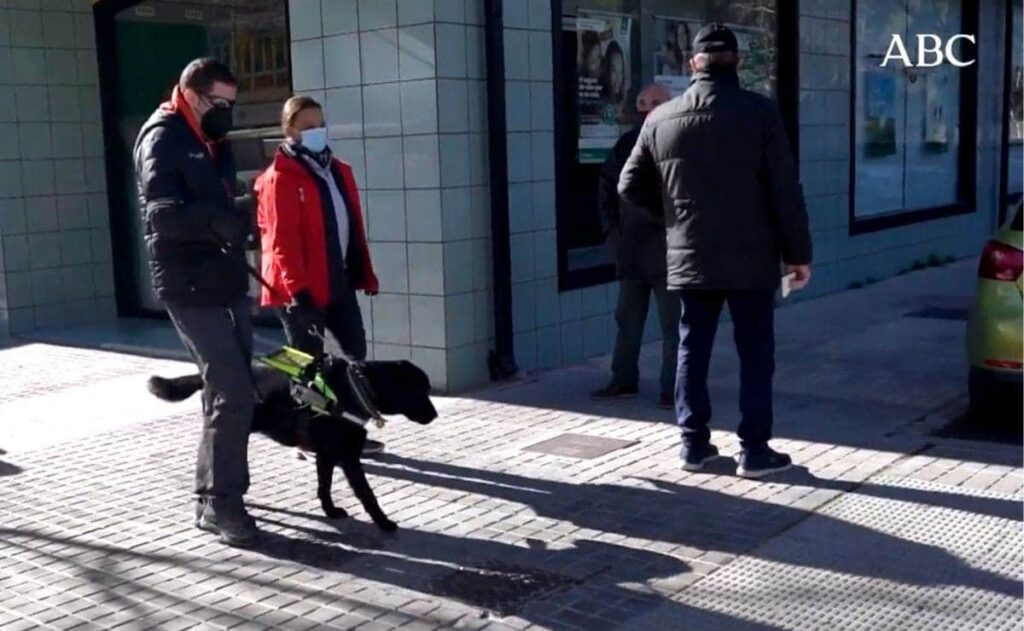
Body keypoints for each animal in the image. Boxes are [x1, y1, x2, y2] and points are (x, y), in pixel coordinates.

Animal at [146, 356, 434, 528]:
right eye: (420, 391)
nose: (435, 415)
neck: (355, 388)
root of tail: (205, 377)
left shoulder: (326, 455)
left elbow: (324, 486)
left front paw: (330, 511)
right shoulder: (349, 457)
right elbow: (367, 494)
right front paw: (383, 522)